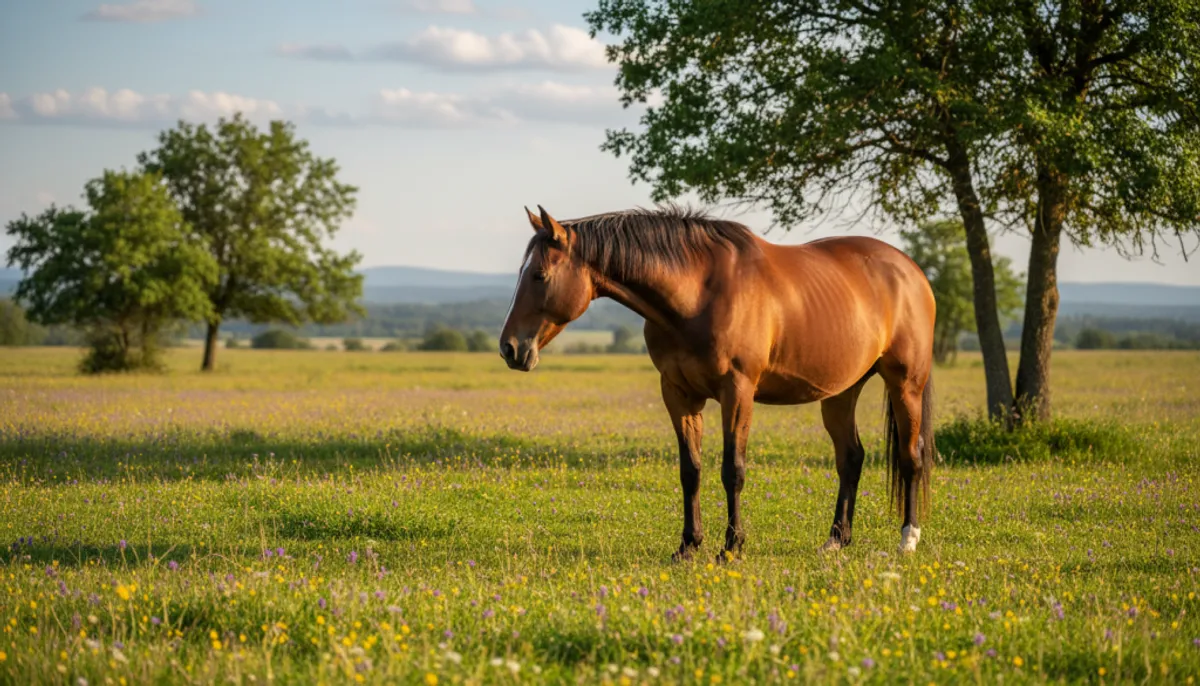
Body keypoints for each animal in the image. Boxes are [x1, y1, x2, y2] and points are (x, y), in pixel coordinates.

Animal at [499, 205, 936, 559]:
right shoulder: (678, 394)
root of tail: (911, 270)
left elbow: (733, 470)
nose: (510, 348)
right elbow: (690, 470)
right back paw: (836, 540)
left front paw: (731, 547)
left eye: (539, 275)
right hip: (841, 393)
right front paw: (688, 546)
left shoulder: (737, 391)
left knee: (910, 457)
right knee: (850, 458)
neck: (698, 294)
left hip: (905, 384)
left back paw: (908, 538)